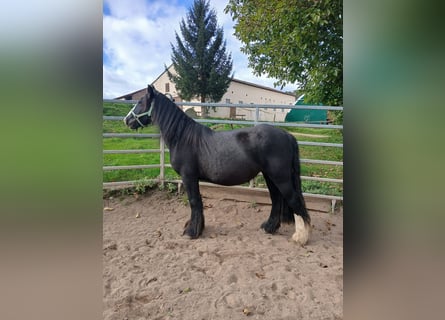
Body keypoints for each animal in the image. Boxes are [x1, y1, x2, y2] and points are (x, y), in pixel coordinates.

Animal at [121, 85, 308, 245]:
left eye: (140, 102)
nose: (126, 120)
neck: (183, 137)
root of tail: (287, 135)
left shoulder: (188, 177)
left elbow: (194, 202)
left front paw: (191, 232)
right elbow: (198, 202)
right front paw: (198, 228)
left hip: (280, 177)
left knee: (294, 200)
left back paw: (301, 237)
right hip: (270, 176)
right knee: (277, 200)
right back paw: (269, 228)